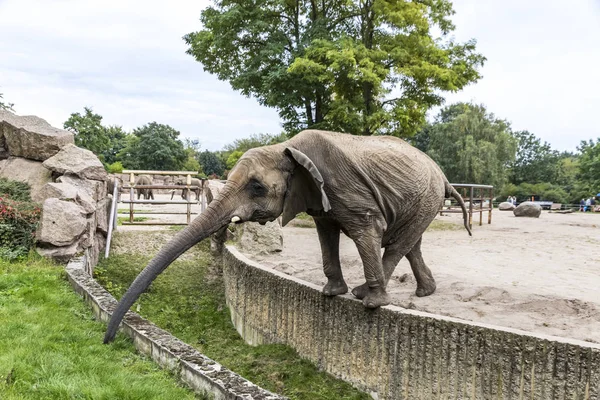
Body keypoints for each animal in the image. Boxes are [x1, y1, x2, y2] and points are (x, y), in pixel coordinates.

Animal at [105, 130, 472, 342]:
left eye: (256, 187)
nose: (109, 340)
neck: (286, 149)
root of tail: (443, 175)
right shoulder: (319, 195)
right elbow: (326, 231)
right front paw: (331, 293)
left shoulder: (345, 189)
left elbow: (367, 230)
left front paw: (371, 305)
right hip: (421, 201)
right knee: (410, 243)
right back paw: (424, 292)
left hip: (425, 197)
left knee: (397, 243)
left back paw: (368, 294)